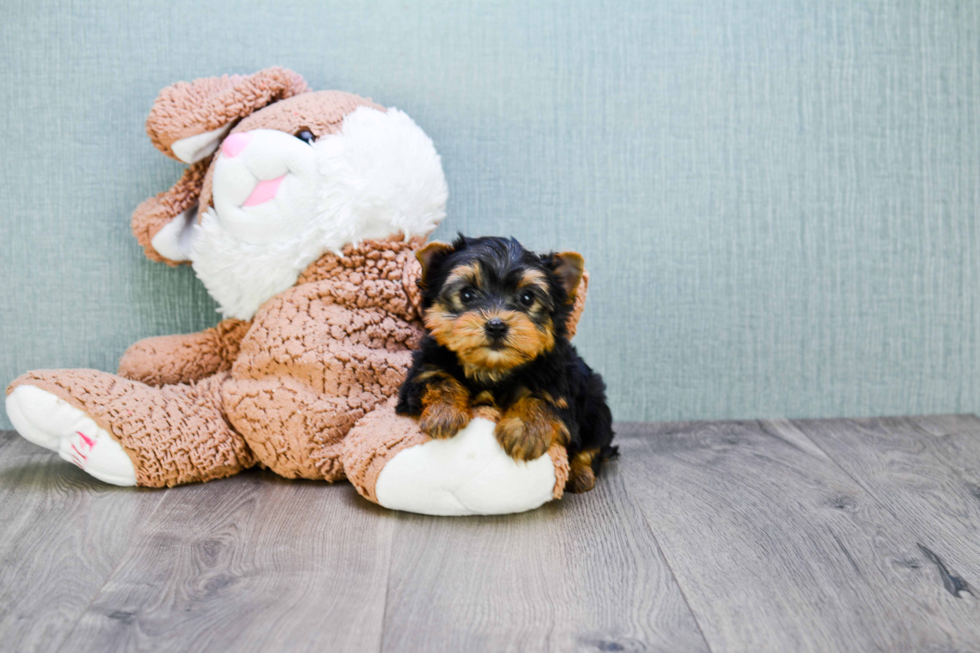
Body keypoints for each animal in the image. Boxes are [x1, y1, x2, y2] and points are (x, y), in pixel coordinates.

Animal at [396, 237, 612, 492]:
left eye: (527, 298)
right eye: (467, 294)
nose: (496, 325)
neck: (492, 368)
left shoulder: (560, 387)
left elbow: (544, 399)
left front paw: (526, 430)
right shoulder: (424, 369)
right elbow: (438, 379)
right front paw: (444, 412)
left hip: (596, 405)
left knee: (595, 445)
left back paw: (580, 474)